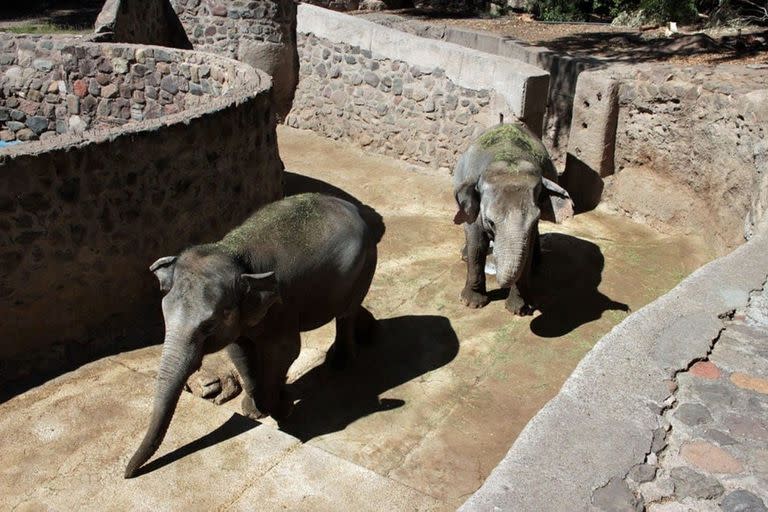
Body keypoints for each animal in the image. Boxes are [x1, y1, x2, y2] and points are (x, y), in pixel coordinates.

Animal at [124, 194, 380, 478]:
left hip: (365, 265)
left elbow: (285, 351)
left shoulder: (280, 305)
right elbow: (240, 350)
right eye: (164, 317)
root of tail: (352, 206)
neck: (233, 252)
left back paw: (340, 361)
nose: (127, 474)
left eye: (208, 326)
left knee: (346, 312)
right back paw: (367, 331)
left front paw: (282, 408)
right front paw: (253, 410)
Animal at [452, 123, 568, 316]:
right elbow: (477, 242)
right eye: (490, 222)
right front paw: (471, 303)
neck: (507, 158)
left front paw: (520, 310)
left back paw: (537, 263)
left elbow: (526, 249)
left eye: (534, 219)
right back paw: (465, 256)